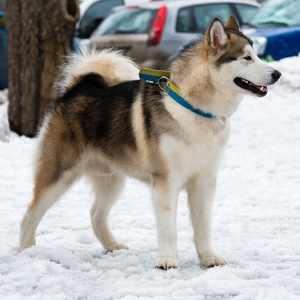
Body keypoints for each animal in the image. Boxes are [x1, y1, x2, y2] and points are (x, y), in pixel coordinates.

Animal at [19, 16, 282, 270]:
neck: (195, 109)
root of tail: (77, 88)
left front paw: (208, 258)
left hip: (112, 180)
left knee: (95, 215)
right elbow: (168, 229)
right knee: (30, 214)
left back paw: (112, 246)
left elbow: (203, 227)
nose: (277, 74)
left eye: (257, 55)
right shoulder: (166, 182)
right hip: (58, 175)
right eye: (247, 58)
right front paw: (167, 261)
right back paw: (26, 251)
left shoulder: (204, 181)